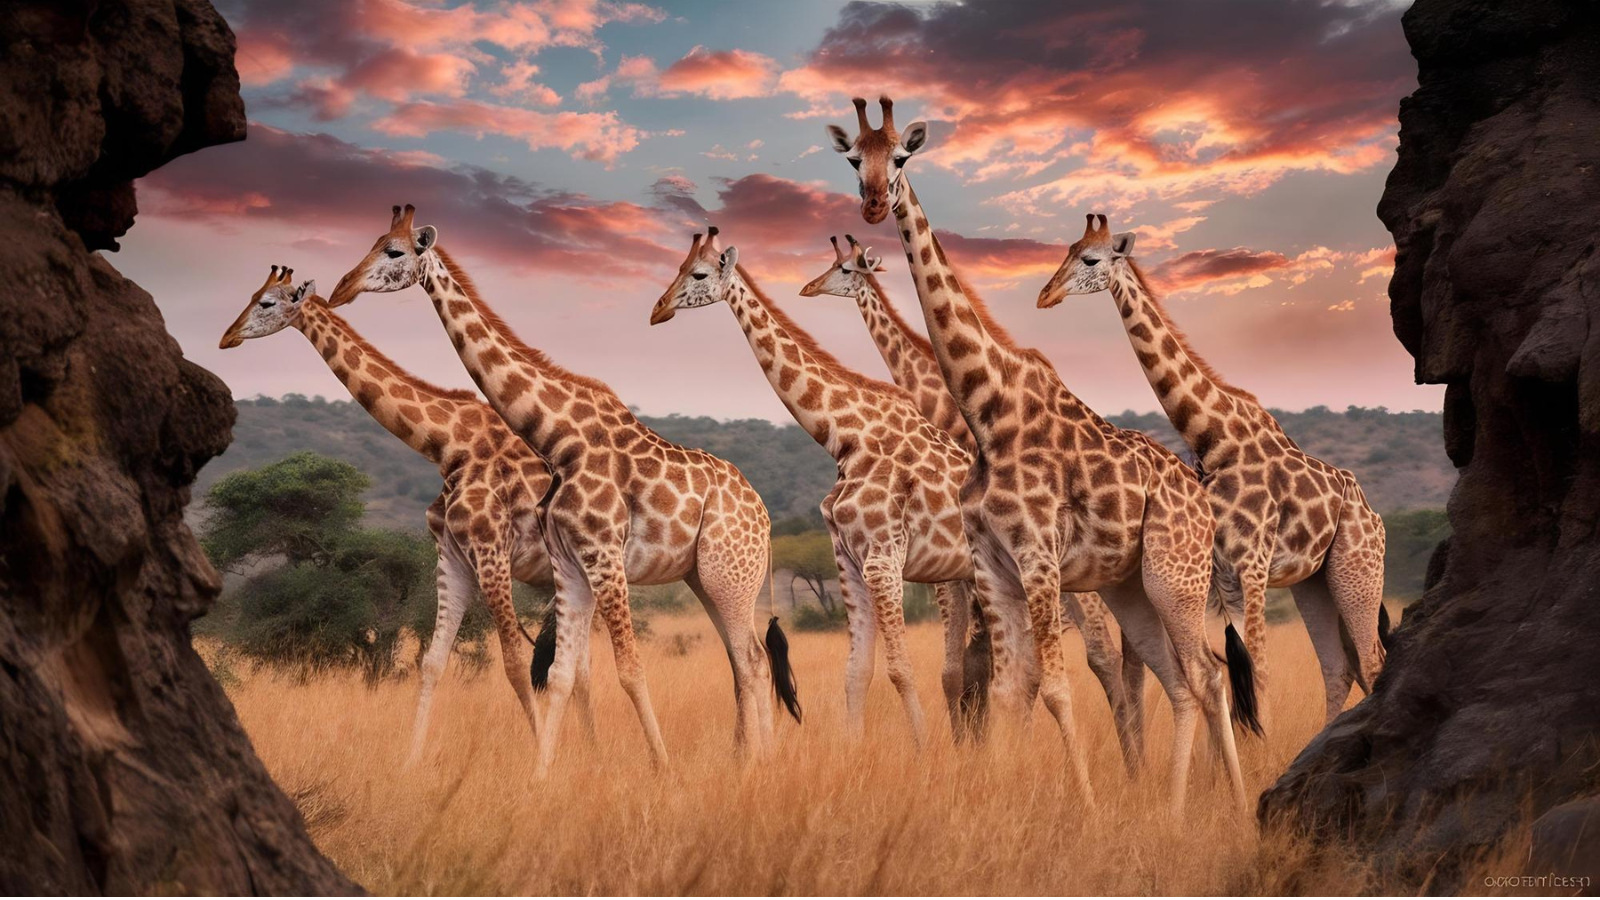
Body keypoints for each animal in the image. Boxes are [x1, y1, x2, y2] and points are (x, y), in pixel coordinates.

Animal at [218, 266, 596, 765]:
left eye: (265, 303)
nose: (226, 337)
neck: (449, 444)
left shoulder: (490, 550)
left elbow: (514, 661)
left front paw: (537, 754)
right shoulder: (451, 554)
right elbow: (431, 662)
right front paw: (410, 761)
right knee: (583, 665)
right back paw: (597, 747)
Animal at [328, 206, 799, 774]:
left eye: (394, 251)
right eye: (373, 242)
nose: (341, 287)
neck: (559, 436)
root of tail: (764, 514)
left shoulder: (593, 554)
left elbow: (624, 668)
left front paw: (662, 770)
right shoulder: (563, 561)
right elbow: (557, 673)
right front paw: (540, 775)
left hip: (730, 576)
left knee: (751, 659)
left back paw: (757, 763)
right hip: (706, 578)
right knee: (744, 659)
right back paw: (748, 758)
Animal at [649, 227, 1016, 750]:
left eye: (698, 274)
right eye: (679, 268)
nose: (658, 309)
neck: (845, 436)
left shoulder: (884, 559)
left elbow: (900, 667)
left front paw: (924, 750)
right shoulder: (848, 558)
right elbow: (856, 671)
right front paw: (856, 749)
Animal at [800, 235, 1144, 768]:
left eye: (843, 269)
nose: (808, 287)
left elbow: (978, 668)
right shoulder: (965, 570)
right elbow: (972, 668)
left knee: (1104, 653)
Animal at [1037, 214, 1388, 727]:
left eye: (1091, 259)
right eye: (1067, 250)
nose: (1045, 295)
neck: (1213, 435)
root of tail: (1374, 516)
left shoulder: (1252, 566)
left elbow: (1256, 669)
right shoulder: (1221, 575)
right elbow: (1227, 668)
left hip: (1358, 569)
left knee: (1372, 661)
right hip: (1313, 582)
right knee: (1341, 667)